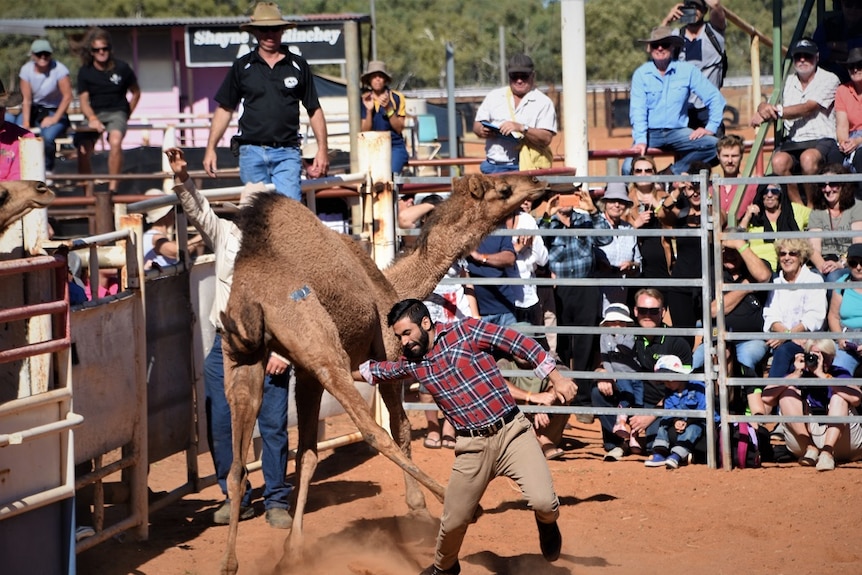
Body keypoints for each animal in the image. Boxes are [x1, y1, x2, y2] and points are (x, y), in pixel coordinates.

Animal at [219, 173, 552, 572]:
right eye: (503, 189)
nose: (538, 182)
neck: (395, 285)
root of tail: (252, 299)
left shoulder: (305, 374)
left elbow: (308, 455)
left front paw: (293, 549)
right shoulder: (389, 354)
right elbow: (401, 429)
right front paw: (418, 509)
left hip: (241, 360)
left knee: (236, 466)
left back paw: (229, 563)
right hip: (322, 347)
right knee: (374, 433)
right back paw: (458, 504)